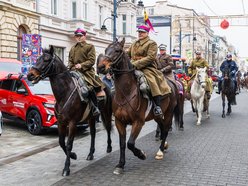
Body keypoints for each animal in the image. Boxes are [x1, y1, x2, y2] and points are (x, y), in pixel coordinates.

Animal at [27, 45, 112, 177]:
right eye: (37, 59)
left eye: (46, 60)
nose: (30, 75)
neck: (65, 93)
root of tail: (105, 85)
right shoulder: (61, 122)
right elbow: (61, 142)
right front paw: (73, 156)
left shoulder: (72, 123)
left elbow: (68, 144)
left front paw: (66, 168)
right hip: (91, 117)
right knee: (93, 133)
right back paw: (90, 154)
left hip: (106, 112)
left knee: (108, 127)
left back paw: (108, 147)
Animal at [98, 37, 179, 174]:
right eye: (105, 49)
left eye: (117, 50)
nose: (101, 67)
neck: (127, 92)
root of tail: (171, 83)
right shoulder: (119, 122)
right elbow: (122, 144)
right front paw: (120, 165)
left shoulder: (138, 122)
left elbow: (130, 143)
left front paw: (141, 154)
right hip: (157, 116)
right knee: (162, 128)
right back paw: (164, 145)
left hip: (168, 113)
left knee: (166, 129)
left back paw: (160, 151)